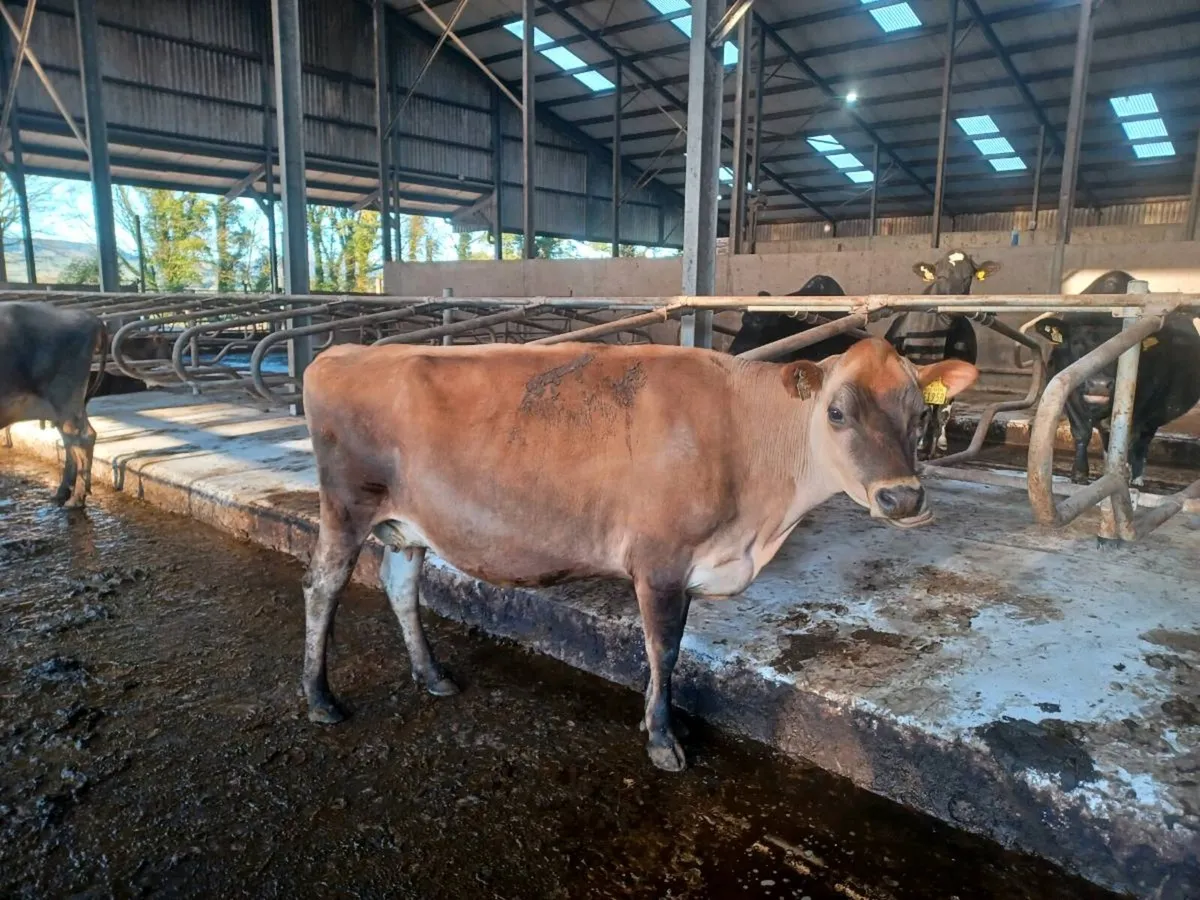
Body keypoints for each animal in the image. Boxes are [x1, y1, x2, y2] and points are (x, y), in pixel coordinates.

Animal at [0, 302, 107, 507]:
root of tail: (86, 315)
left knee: (83, 437)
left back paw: (75, 499)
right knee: (70, 440)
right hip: (64, 407)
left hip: (64, 397)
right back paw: (62, 493)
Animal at [299, 337, 979, 772]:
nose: (902, 496)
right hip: (348, 505)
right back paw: (320, 700)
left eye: (920, 413)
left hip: (406, 523)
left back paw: (433, 676)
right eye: (837, 411)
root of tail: (345, 352)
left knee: (399, 586)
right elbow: (665, 649)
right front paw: (662, 739)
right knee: (322, 589)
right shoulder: (661, 560)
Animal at [887, 250, 999, 457]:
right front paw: (921, 445)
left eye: (969, 276)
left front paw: (939, 445)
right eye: (940, 276)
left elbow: (944, 410)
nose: (955, 305)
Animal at [1032, 270, 1200, 486]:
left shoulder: (1143, 406)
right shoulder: (1067, 393)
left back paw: (1136, 480)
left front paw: (1123, 477)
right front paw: (1079, 474)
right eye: (1077, 342)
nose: (1099, 385)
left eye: (1125, 345)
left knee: (1141, 443)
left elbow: (1129, 440)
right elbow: (1081, 432)